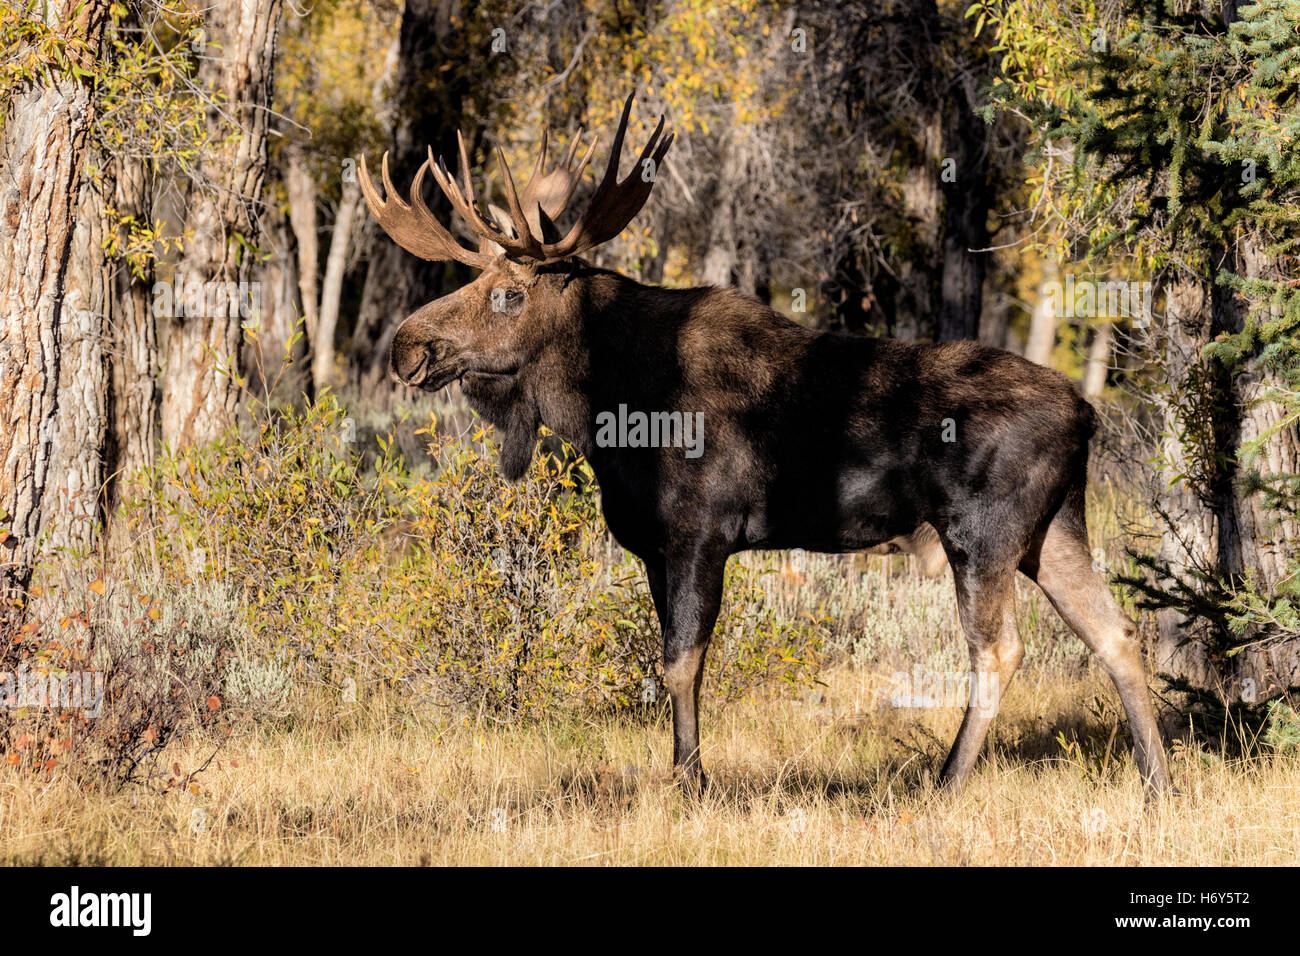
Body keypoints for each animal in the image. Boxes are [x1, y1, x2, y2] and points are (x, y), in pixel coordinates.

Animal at [361, 93, 1175, 801]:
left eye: (509, 294)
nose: (408, 346)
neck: (608, 403)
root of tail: (1087, 415)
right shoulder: (654, 546)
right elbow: (673, 660)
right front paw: (685, 772)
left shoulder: (701, 531)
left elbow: (681, 663)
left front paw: (692, 781)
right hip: (1055, 528)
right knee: (1117, 633)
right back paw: (1156, 781)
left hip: (983, 532)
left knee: (1000, 650)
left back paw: (946, 781)